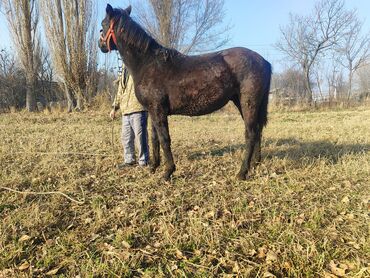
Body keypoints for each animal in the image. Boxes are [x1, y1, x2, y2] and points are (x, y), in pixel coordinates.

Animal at [98, 5, 272, 181]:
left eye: (103, 24)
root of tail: (264, 61)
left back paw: (242, 172)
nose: (101, 45)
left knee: (250, 134)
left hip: (248, 103)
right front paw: (153, 167)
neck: (148, 64)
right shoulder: (153, 111)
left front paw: (168, 172)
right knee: (257, 131)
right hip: (243, 103)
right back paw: (255, 165)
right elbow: (154, 138)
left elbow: (164, 138)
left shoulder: (158, 111)